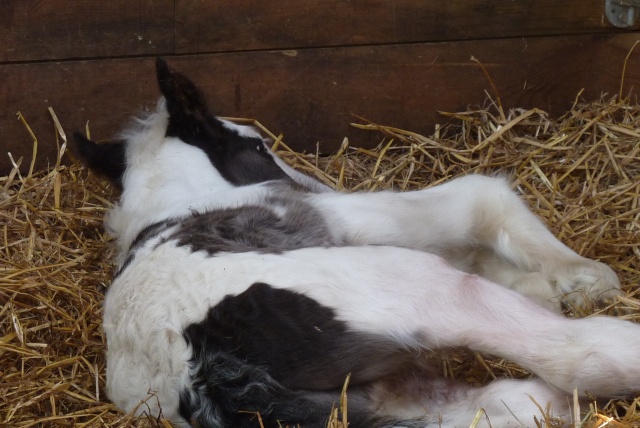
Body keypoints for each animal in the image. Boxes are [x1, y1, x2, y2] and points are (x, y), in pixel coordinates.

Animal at [76, 57, 640, 428]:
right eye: (256, 147)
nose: (316, 186)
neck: (182, 203)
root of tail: (198, 371)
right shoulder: (350, 218)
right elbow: (480, 200)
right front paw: (584, 278)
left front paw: (551, 286)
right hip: (410, 287)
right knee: (575, 358)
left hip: (371, 399)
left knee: (521, 404)